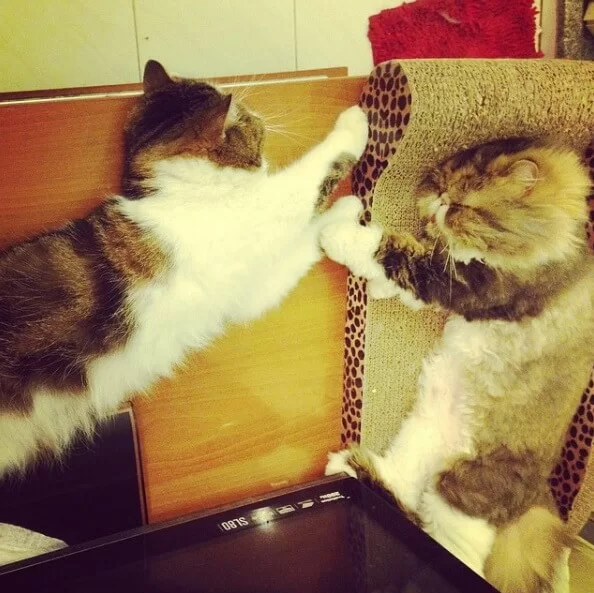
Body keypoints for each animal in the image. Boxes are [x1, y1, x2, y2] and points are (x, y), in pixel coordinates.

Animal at [0, 60, 369, 478]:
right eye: (246, 119)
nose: (259, 116)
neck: (177, 190)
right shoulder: (265, 208)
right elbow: (310, 174)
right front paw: (356, 123)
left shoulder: (245, 292)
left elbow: (302, 247)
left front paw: (340, 224)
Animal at [320, 137, 594, 593]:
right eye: (441, 186)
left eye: (460, 204)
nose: (437, 203)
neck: (556, 246)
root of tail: (538, 498)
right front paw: (374, 280)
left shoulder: (464, 281)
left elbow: (386, 247)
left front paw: (335, 224)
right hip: (422, 439)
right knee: (400, 487)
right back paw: (349, 467)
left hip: (456, 493)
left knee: (449, 549)